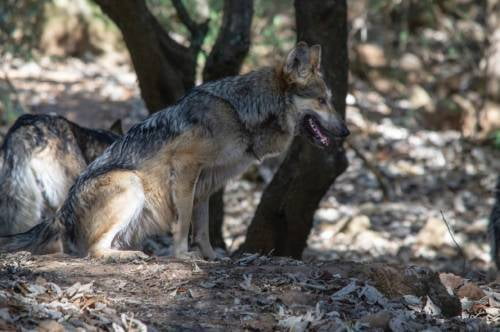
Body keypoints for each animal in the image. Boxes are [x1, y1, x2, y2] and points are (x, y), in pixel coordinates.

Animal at [0, 41, 348, 260]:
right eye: (322, 101)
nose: (345, 132)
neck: (239, 114)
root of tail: (62, 213)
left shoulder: (206, 185)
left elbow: (203, 229)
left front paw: (211, 258)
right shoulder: (185, 168)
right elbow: (183, 223)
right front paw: (182, 256)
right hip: (129, 182)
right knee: (92, 252)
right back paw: (129, 257)